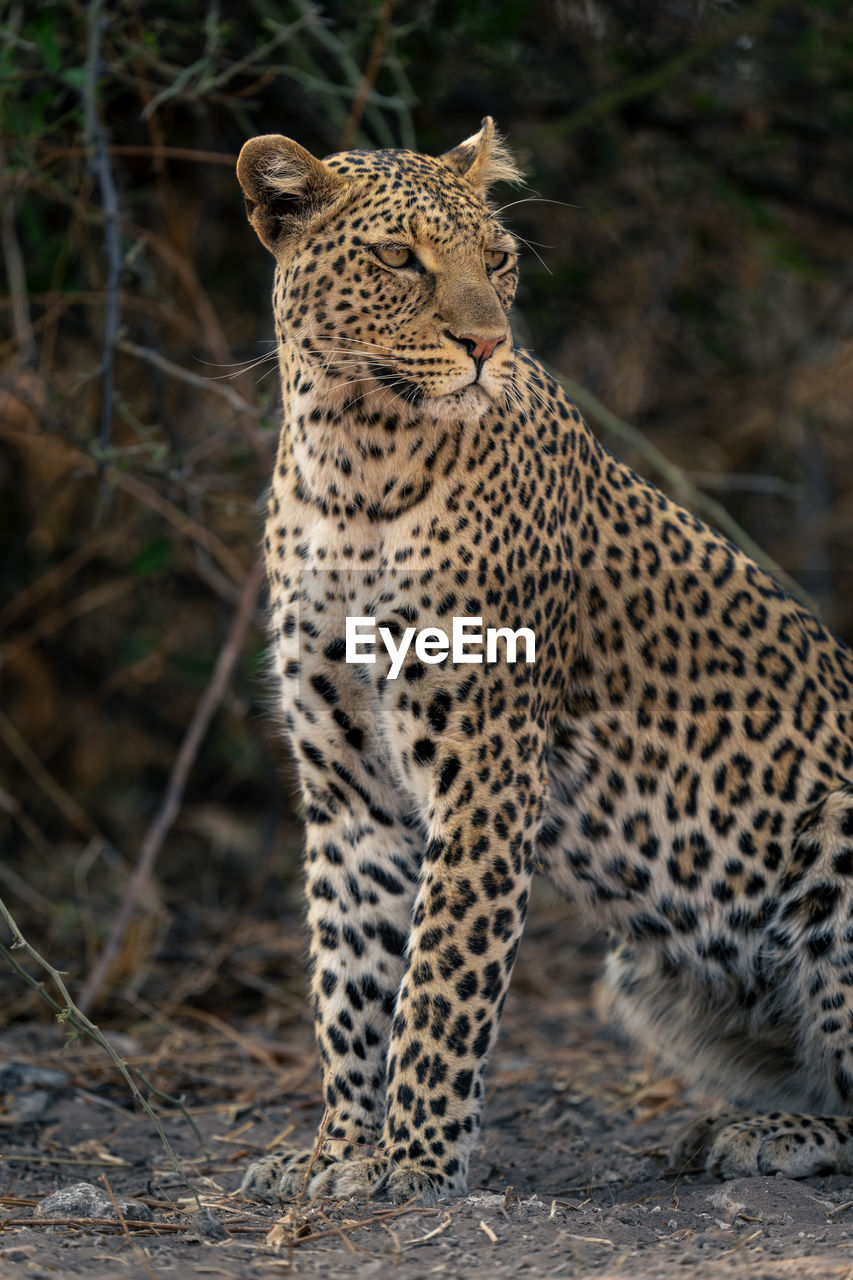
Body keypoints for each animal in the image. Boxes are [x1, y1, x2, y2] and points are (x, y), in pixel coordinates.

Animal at [233, 115, 853, 1203]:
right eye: (399, 258)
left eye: (497, 259)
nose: (485, 345)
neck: (353, 464)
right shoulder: (348, 781)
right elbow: (348, 976)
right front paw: (337, 1153)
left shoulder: (486, 763)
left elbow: (442, 979)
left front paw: (416, 1161)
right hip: (640, 972)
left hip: (837, 833)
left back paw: (762, 1138)